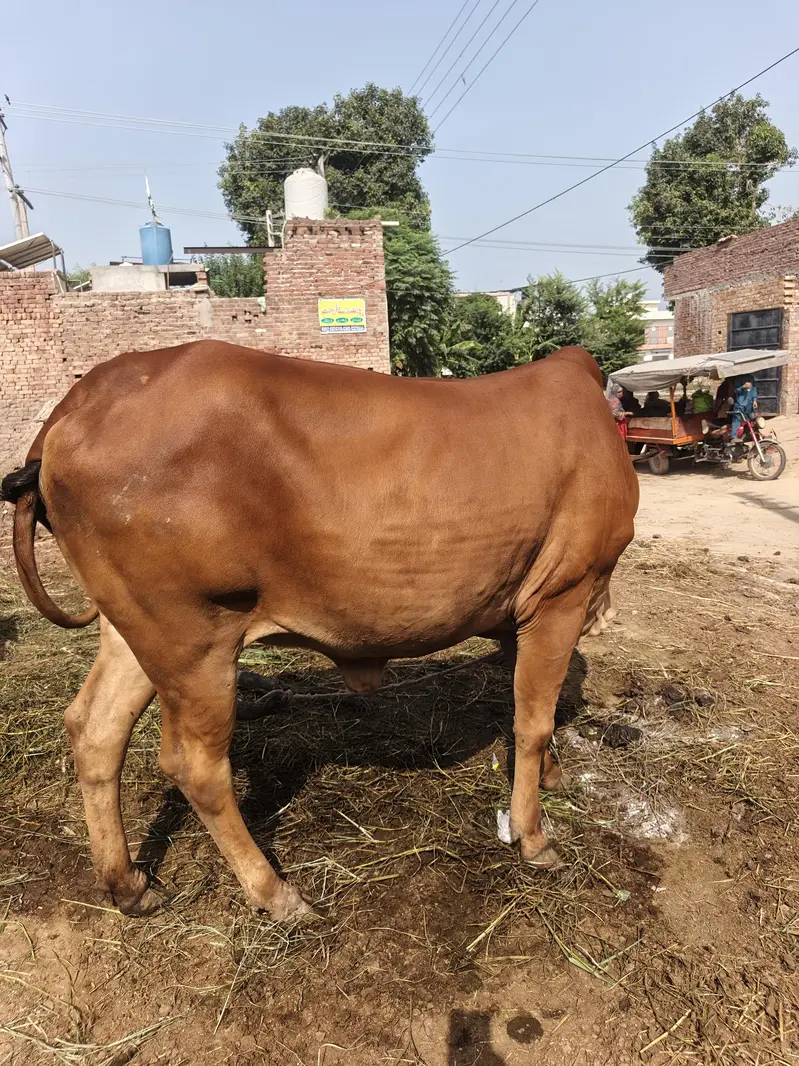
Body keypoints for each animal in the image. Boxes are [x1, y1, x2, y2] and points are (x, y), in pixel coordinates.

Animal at [1, 340, 638, 920]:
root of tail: (79, 403)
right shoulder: (563, 593)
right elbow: (533, 721)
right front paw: (534, 836)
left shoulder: (520, 609)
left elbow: (531, 707)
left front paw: (549, 776)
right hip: (195, 643)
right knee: (194, 765)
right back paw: (274, 891)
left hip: (136, 630)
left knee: (96, 730)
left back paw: (128, 884)